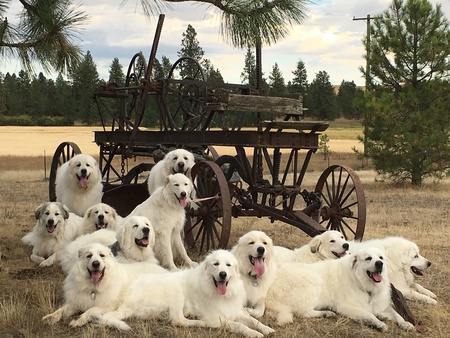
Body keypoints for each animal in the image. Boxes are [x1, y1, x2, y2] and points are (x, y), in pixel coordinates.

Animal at [97, 250, 276, 336]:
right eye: (216, 264)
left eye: (228, 265)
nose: (222, 274)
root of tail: (127, 297)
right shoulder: (217, 316)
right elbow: (239, 325)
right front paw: (254, 334)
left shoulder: (234, 311)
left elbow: (253, 320)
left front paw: (266, 329)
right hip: (177, 292)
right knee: (179, 321)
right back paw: (200, 322)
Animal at [266, 247, 416, 332]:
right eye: (368, 258)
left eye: (381, 258)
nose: (380, 264)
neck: (361, 282)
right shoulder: (347, 307)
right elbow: (369, 315)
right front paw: (379, 324)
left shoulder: (381, 305)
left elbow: (397, 315)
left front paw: (406, 324)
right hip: (314, 282)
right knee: (304, 312)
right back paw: (326, 313)